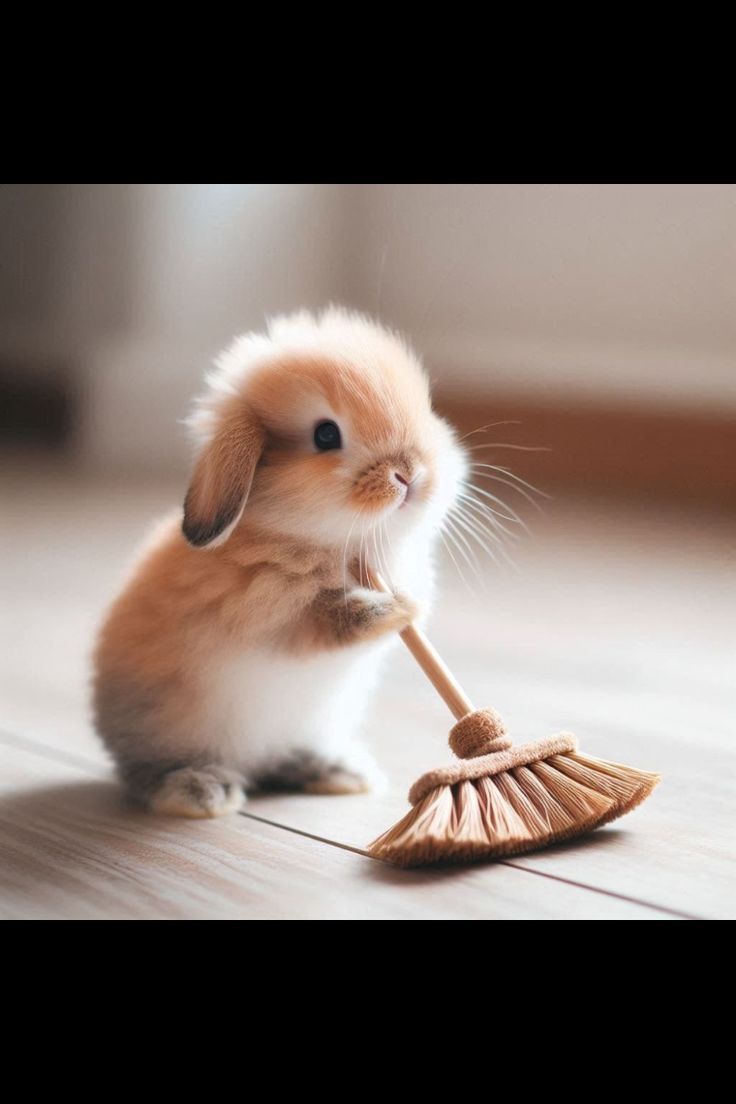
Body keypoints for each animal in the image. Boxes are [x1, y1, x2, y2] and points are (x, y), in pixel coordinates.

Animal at [93, 306, 465, 816]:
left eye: (425, 409)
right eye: (326, 434)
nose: (410, 473)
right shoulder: (274, 618)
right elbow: (330, 621)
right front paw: (394, 609)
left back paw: (342, 773)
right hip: (173, 729)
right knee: (148, 775)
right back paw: (203, 791)